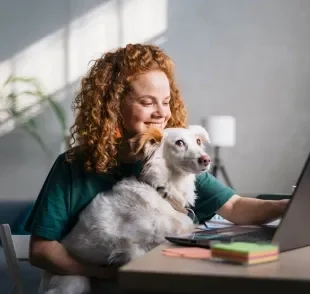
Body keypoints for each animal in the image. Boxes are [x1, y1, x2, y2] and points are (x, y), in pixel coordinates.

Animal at [39, 124, 211, 294]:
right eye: (179, 143)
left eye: (198, 142)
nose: (206, 159)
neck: (163, 193)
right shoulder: (129, 249)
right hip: (75, 282)